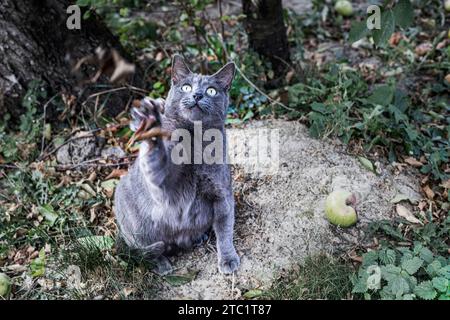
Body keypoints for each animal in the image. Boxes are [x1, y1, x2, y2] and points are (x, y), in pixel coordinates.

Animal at [114, 55, 241, 276]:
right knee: (144, 250)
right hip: (131, 214)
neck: (194, 141)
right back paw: (161, 264)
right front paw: (151, 126)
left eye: (211, 90)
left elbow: (225, 228)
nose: (197, 95)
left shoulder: (221, 192)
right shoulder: (164, 188)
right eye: (186, 87)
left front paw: (228, 259)